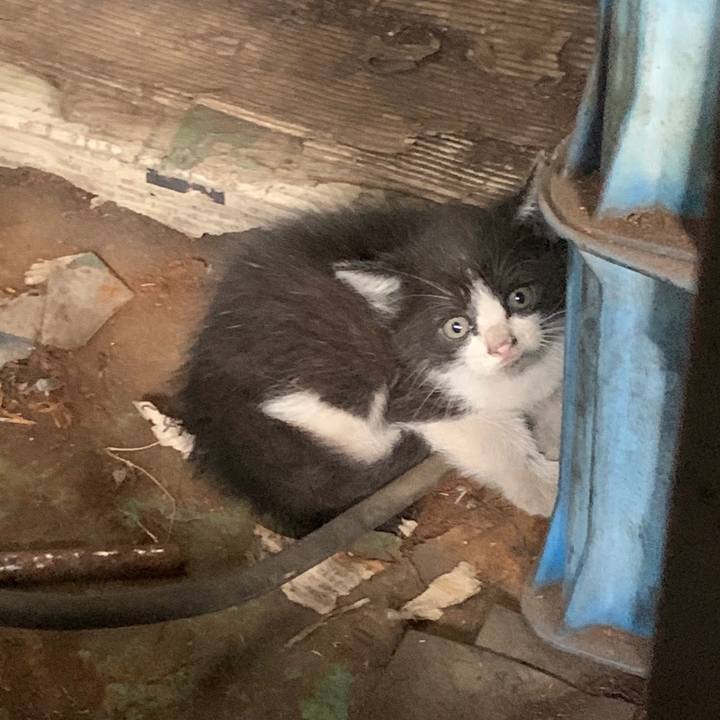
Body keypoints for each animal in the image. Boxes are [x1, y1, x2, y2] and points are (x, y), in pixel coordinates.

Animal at [180, 171, 567, 537]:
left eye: (520, 297)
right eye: (456, 326)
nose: (502, 345)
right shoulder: (417, 391)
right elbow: (489, 436)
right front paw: (546, 490)